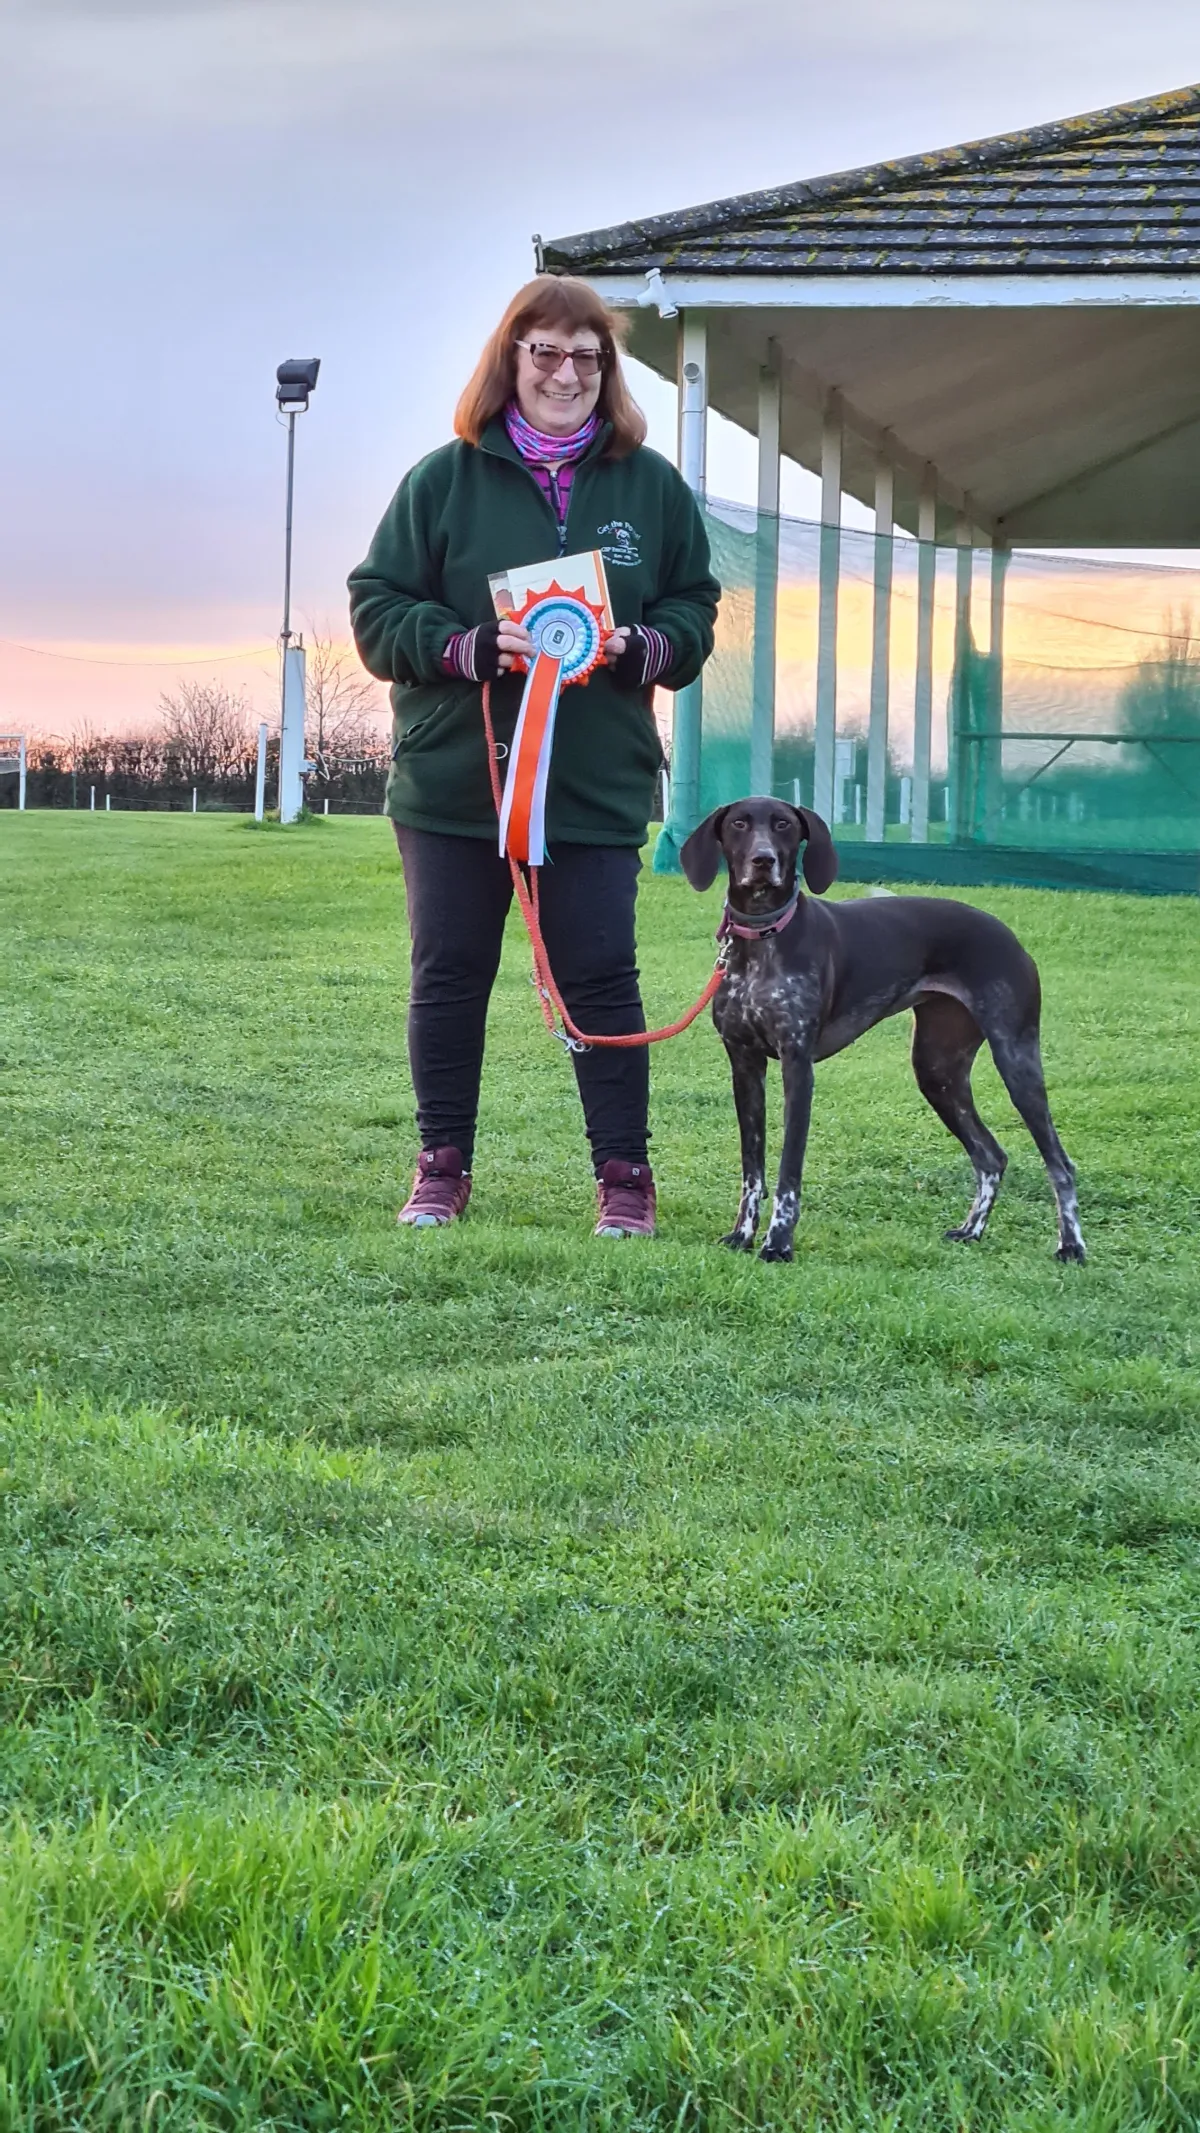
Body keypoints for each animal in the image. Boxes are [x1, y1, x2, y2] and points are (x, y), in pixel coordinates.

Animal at [686, 797, 1091, 1262]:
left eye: (783, 825)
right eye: (739, 824)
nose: (763, 860)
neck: (762, 937)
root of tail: (1011, 937)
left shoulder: (797, 1067)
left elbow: (789, 1171)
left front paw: (778, 1244)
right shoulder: (744, 1065)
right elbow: (752, 1167)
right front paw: (742, 1234)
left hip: (1016, 1061)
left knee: (1059, 1163)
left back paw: (1071, 1245)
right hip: (938, 1072)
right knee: (991, 1156)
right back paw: (971, 1230)